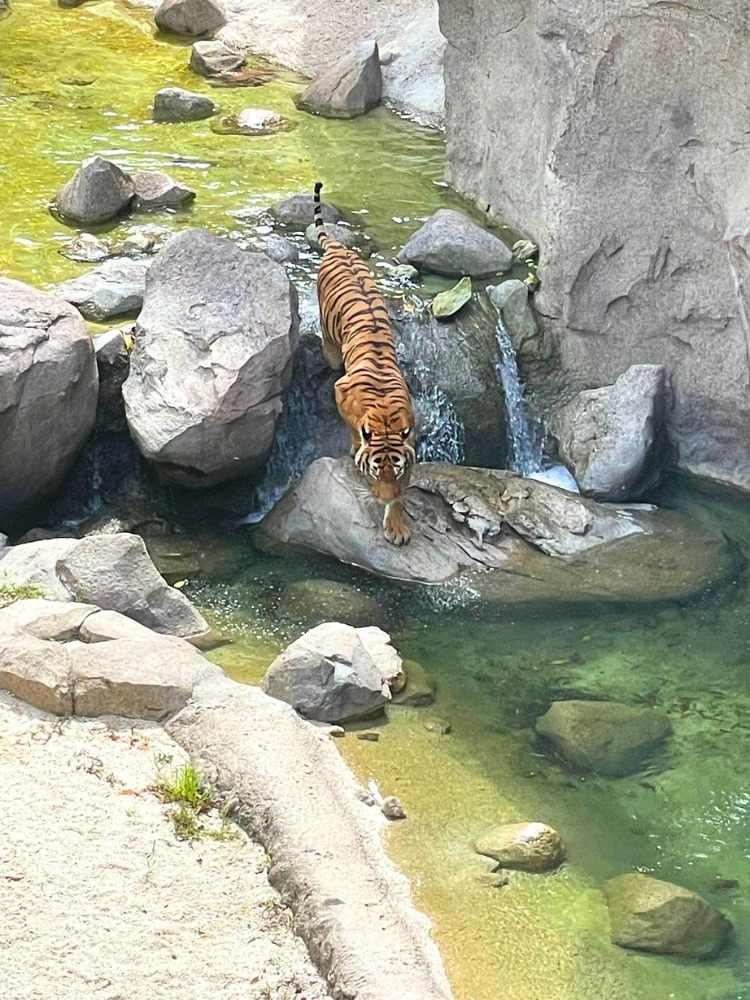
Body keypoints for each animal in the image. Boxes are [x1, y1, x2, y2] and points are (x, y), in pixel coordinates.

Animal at [313, 181, 416, 546]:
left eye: (395, 471)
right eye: (374, 470)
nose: (382, 497)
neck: (384, 416)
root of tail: (339, 247)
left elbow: (403, 493)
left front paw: (396, 524)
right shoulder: (340, 391)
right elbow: (353, 432)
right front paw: (356, 446)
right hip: (328, 331)